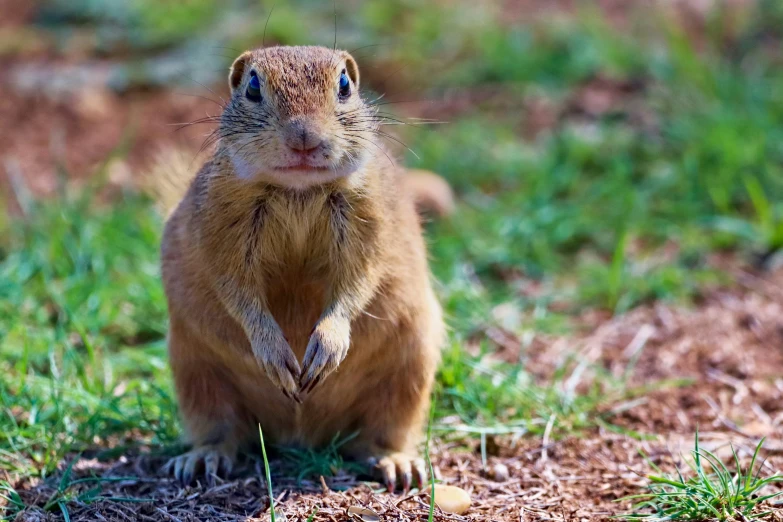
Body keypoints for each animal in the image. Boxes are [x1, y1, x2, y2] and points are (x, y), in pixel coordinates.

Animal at [161, 46, 448, 490]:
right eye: (253, 86)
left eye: (344, 85)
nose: (303, 138)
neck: (298, 190)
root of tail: (301, 435)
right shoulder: (218, 230)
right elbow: (236, 290)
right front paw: (276, 355)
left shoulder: (370, 225)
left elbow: (356, 283)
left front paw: (326, 345)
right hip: (196, 373)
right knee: (225, 431)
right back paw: (202, 458)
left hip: (409, 371)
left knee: (378, 434)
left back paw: (398, 464)